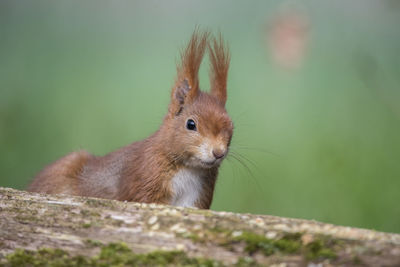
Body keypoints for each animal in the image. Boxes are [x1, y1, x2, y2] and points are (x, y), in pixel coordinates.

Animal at [28, 29, 233, 209]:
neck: (189, 168)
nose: (218, 152)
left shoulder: (195, 198)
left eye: (232, 127)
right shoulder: (144, 180)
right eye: (191, 124)